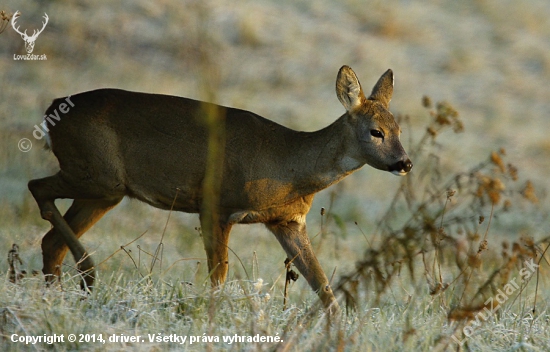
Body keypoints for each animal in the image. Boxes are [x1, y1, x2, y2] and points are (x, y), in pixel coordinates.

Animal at [28, 66, 412, 314]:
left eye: (399, 130)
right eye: (376, 131)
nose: (405, 162)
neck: (288, 167)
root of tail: (51, 110)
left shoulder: (288, 222)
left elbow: (324, 287)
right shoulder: (215, 204)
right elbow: (219, 276)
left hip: (104, 188)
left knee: (51, 240)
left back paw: (60, 294)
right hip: (95, 173)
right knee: (37, 188)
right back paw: (88, 276)